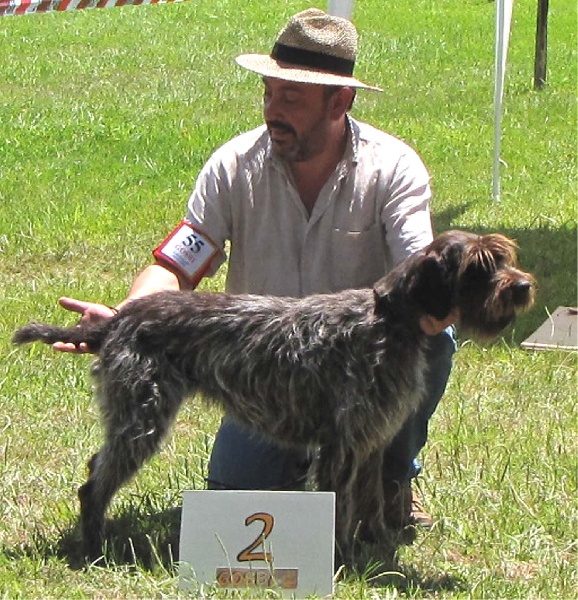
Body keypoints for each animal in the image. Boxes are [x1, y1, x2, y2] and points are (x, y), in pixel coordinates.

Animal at [13, 230, 532, 564]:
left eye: (504, 258)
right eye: (479, 267)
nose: (524, 286)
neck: (388, 321)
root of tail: (117, 321)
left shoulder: (370, 441)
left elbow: (371, 500)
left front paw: (378, 547)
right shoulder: (343, 447)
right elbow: (342, 507)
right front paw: (344, 559)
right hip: (141, 420)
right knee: (93, 485)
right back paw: (93, 549)